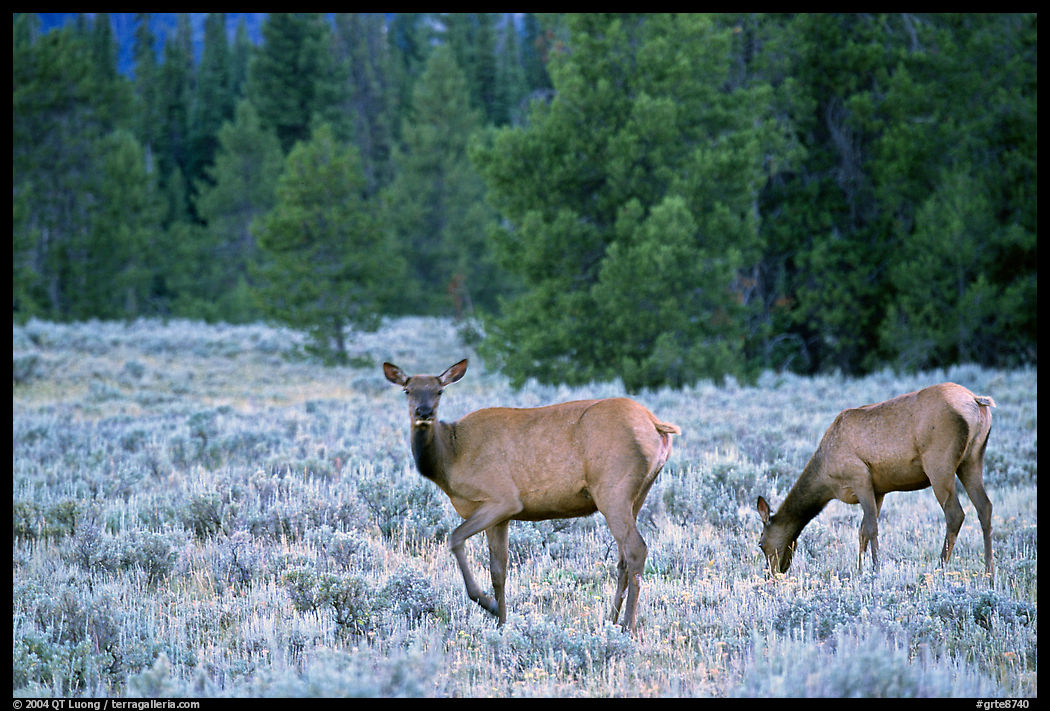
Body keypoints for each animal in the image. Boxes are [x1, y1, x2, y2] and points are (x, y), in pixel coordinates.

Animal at [383, 358, 681, 633]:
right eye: (408, 390)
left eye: (439, 391)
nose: (424, 412)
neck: (450, 459)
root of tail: (657, 425)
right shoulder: (499, 516)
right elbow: (499, 570)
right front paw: (502, 623)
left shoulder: (502, 498)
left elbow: (455, 538)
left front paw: (488, 604)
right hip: (638, 494)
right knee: (622, 558)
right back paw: (610, 621)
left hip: (612, 489)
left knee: (636, 549)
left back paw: (627, 627)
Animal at [756, 382, 995, 579]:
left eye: (760, 543)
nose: (771, 575)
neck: (826, 479)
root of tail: (977, 401)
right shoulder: (878, 490)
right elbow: (862, 531)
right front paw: (860, 570)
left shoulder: (859, 476)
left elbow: (871, 528)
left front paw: (875, 570)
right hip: (972, 459)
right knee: (985, 506)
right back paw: (989, 572)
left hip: (939, 464)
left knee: (955, 514)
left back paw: (938, 570)